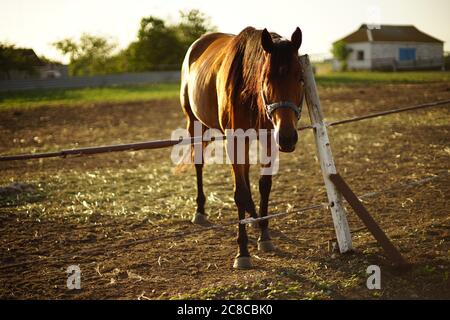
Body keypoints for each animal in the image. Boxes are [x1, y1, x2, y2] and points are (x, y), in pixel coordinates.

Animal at [181, 26, 304, 268]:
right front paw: (243, 252)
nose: (287, 137)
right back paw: (200, 210)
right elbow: (240, 192)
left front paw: (264, 235)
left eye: (300, 77)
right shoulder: (235, 140)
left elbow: (264, 185)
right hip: (195, 123)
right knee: (199, 164)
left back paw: (253, 216)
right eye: (267, 78)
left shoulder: (268, 139)